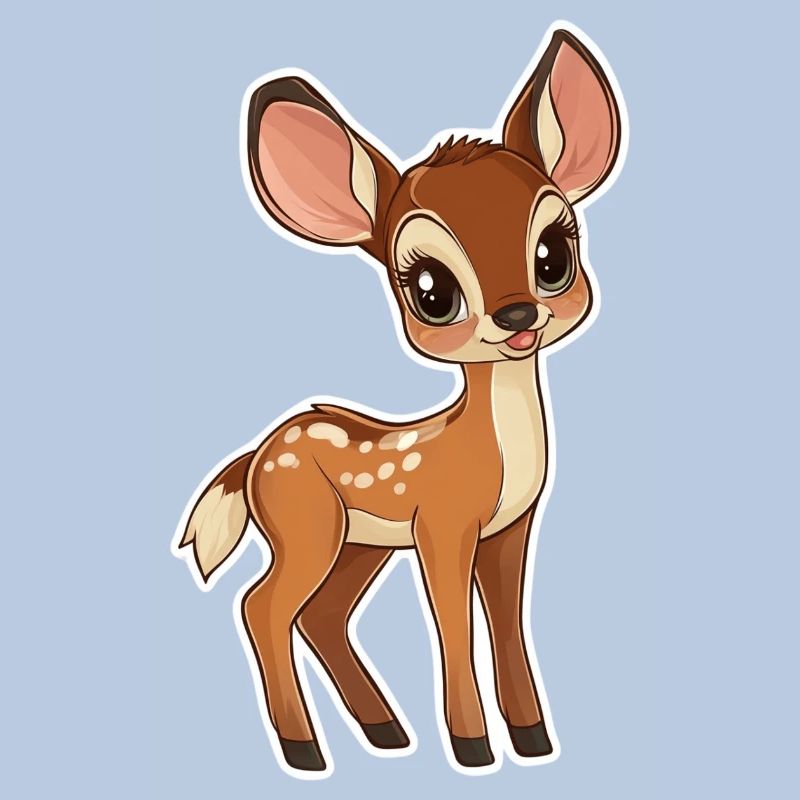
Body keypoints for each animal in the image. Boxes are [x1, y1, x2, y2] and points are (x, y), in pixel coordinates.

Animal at [175, 25, 625, 776]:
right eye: (430, 290)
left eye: (553, 254)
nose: (516, 316)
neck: (490, 446)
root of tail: (256, 456)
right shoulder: (443, 525)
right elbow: (453, 625)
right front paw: (473, 748)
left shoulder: (508, 531)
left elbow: (507, 623)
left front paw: (532, 740)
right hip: (308, 527)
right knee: (263, 607)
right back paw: (306, 751)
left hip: (359, 544)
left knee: (321, 615)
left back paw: (386, 731)